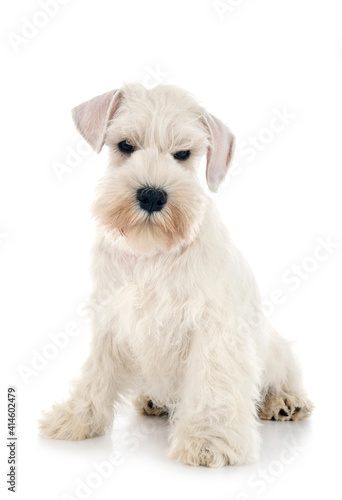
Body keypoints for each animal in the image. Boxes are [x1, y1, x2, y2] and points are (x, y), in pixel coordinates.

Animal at [40, 84, 312, 466]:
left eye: (183, 153)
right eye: (125, 145)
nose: (152, 195)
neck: (151, 253)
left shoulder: (213, 326)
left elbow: (213, 382)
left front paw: (210, 438)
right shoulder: (111, 318)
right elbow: (96, 371)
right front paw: (78, 416)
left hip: (275, 349)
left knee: (281, 378)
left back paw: (285, 402)